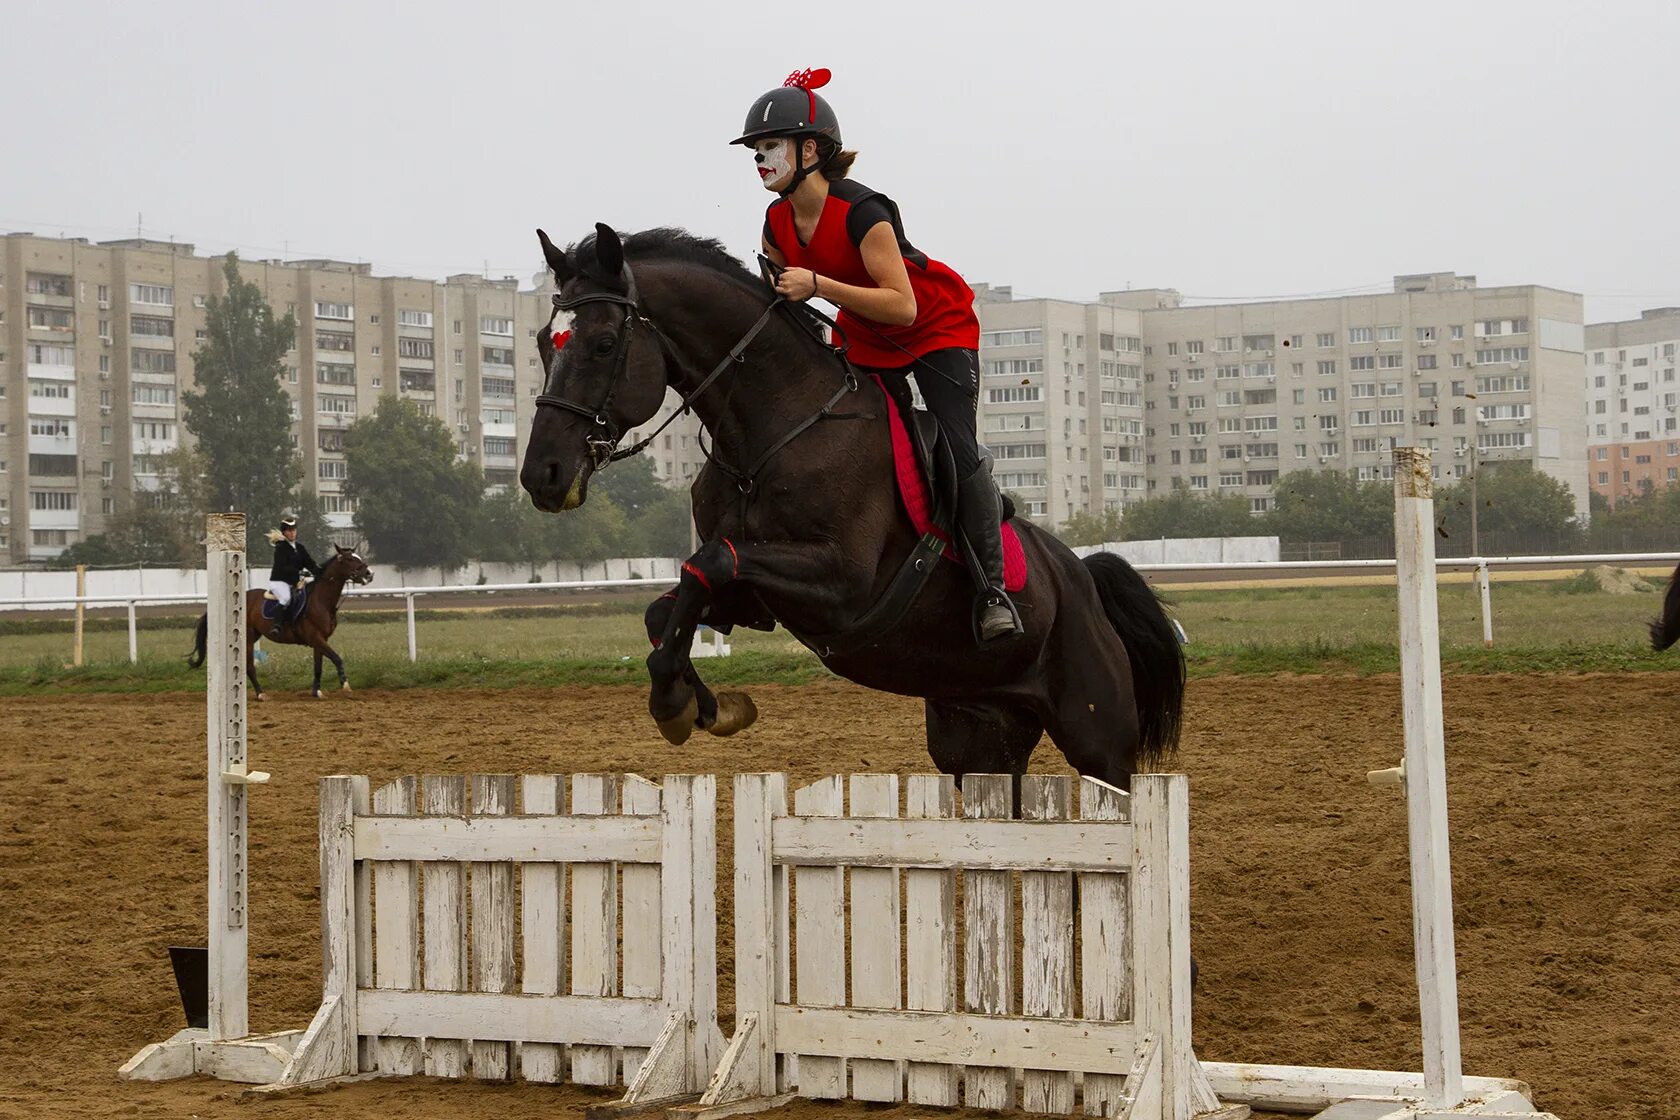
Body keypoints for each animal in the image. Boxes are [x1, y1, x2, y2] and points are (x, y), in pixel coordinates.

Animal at [190, 544, 374, 695]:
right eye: (350, 559)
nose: (369, 574)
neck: (321, 600)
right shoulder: (316, 638)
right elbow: (337, 658)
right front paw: (345, 684)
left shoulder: (320, 640)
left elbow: (318, 666)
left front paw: (316, 691)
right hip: (247, 638)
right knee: (249, 666)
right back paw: (260, 693)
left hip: (254, 635)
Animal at [517, 223, 1189, 792]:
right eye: (543, 344)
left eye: (605, 344)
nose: (541, 476)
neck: (772, 432)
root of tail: (1084, 579)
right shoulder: (755, 599)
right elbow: (677, 599)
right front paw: (703, 703)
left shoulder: (841, 586)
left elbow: (709, 562)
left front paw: (677, 705)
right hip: (978, 738)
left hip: (1097, 738)